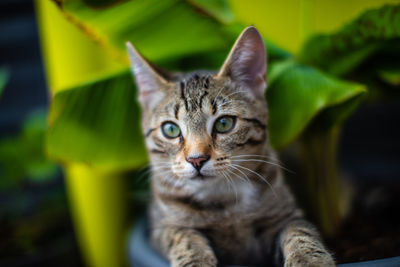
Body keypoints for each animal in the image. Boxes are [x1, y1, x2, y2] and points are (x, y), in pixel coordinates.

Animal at [127, 25, 334, 267]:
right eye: (170, 129)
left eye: (224, 123)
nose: (196, 159)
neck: (222, 200)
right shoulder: (162, 227)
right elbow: (183, 236)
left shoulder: (286, 215)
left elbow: (300, 232)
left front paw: (309, 259)